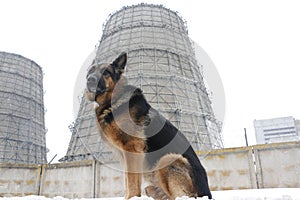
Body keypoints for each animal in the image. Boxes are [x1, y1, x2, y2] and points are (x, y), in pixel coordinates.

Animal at [85, 52, 211, 199]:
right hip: (152, 185)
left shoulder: (132, 149)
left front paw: (132, 197)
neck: (113, 99)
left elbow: (132, 182)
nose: (90, 80)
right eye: (90, 72)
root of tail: (207, 192)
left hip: (168, 158)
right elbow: (128, 180)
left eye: (105, 72)